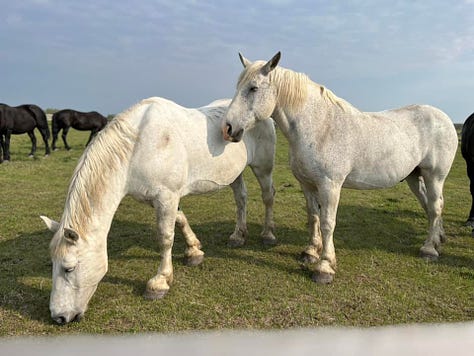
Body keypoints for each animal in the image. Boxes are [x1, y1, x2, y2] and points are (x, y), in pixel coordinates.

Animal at [41, 97, 278, 326]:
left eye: (68, 268)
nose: (58, 317)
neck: (137, 147)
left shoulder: (167, 196)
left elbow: (165, 238)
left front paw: (160, 282)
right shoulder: (162, 198)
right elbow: (180, 221)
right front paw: (194, 251)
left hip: (263, 167)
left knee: (268, 196)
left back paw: (268, 235)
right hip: (234, 173)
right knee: (241, 198)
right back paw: (238, 236)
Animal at [223, 52, 460, 286]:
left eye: (253, 88)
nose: (228, 128)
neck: (320, 127)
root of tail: (445, 118)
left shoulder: (330, 186)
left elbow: (328, 223)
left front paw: (325, 267)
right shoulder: (307, 184)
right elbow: (313, 217)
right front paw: (310, 252)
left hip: (434, 176)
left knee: (436, 206)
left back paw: (429, 249)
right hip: (414, 177)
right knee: (429, 205)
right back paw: (438, 240)